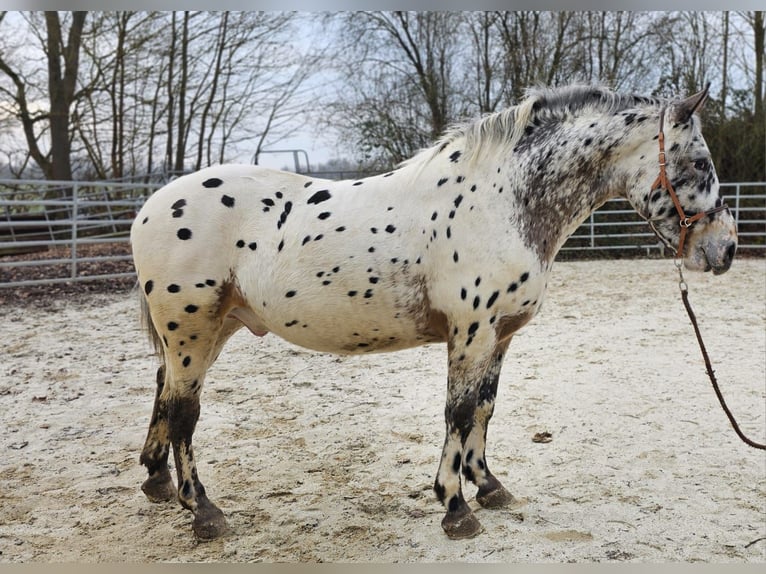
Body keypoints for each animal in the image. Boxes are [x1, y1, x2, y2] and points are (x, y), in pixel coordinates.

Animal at [130, 83, 736, 544]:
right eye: (700, 162)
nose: (725, 250)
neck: (502, 201)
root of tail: (150, 206)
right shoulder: (471, 333)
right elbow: (459, 412)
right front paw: (454, 506)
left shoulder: (500, 336)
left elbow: (485, 409)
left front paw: (488, 486)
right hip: (192, 328)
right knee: (184, 411)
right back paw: (202, 511)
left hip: (215, 328)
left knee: (164, 390)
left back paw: (158, 481)